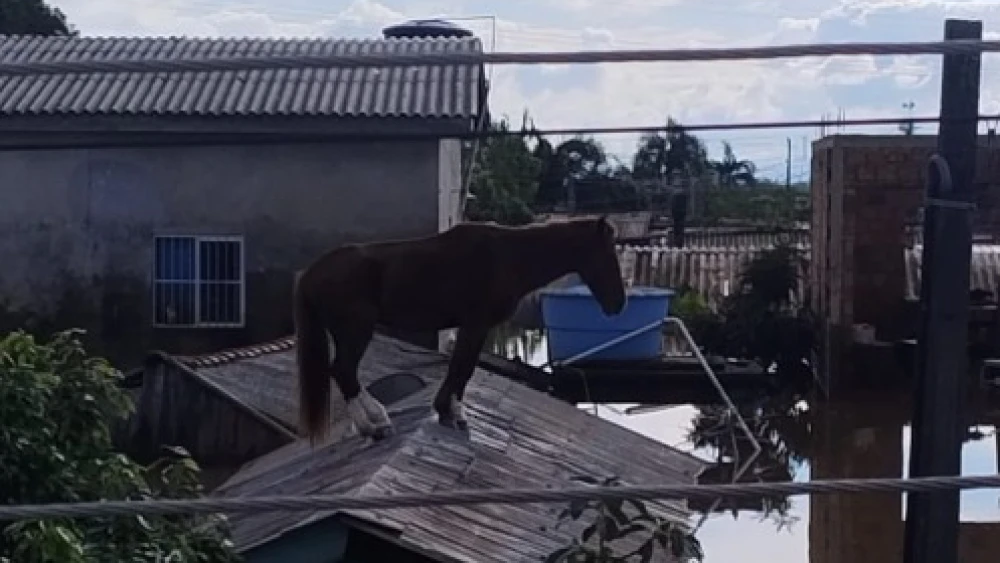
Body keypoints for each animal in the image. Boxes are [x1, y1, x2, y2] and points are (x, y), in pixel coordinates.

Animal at [293, 215, 627, 444]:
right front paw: (450, 413)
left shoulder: (474, 327)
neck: (508, 257)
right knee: (344, 371)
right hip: (356, 331)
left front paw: (450, 412)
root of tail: (311, 273)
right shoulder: (475, 324)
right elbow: (462, 368)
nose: (618, 304)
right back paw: (375, 424)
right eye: (608, 254)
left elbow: (463, 368)